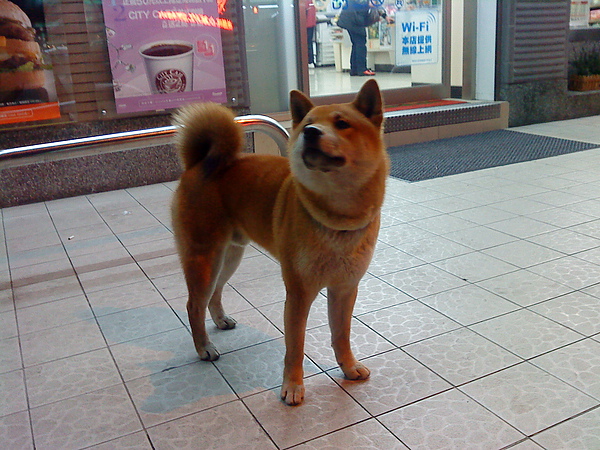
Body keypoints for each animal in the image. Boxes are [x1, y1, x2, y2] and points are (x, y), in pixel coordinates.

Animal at [171, 79, 392, 406]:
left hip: (229, 256)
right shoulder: (299, 293)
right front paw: (293, 387)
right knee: (193, 304)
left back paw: (221, 320)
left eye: (342, 123)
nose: (311, 132)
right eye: (308, 124)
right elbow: (295, 347)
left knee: (215, 293)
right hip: (205, 259)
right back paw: (204, 347)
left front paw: (349, 368)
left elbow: (341, 335)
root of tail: (200, 164)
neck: (335, 219)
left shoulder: (344, 288)